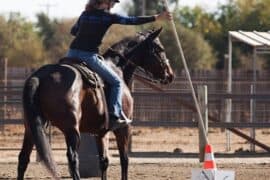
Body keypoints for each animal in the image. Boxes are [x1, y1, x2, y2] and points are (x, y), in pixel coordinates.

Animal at [18, 27, 175, 180]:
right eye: (160, 49)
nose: (170, 75)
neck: (117, 69)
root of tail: (40, 76)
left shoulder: (100, 132)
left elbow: (104, 161)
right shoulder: (124, 128)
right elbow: (124, 160)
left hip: (31, 128)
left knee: (23, 158)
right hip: (72, 130)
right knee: (73, 158)